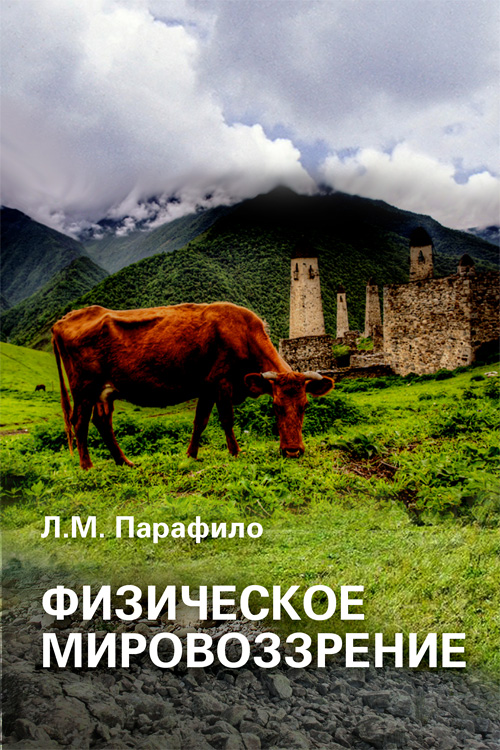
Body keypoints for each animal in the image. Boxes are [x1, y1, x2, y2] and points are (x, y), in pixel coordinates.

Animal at [52, 302, 334, 470]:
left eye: (305, 406)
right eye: (275, 406)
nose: (292, 451)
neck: (244, 334)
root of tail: (64, 319)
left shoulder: (207, 386)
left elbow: (200, 421)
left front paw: (191, 455)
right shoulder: (221, 382)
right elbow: (226, 420)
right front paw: (236, 453)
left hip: (103, 392)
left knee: (102, 423)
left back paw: (125, 462)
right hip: (84, 388)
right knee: (80, 423)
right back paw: (87, 466)